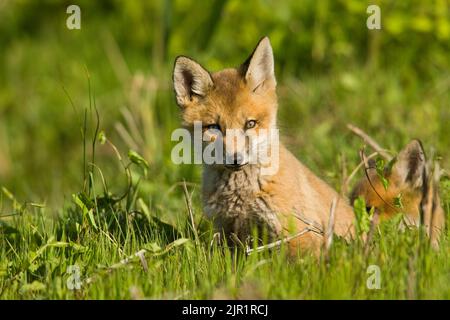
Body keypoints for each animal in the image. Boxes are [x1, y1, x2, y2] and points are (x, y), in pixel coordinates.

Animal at [172, 37, 356, 254]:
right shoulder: (226, 231)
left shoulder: (301, 234)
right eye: (214, 127)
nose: (235, 159)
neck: (241, 196)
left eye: (250, 124)